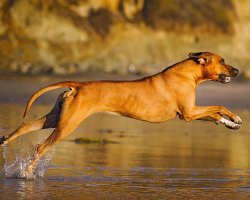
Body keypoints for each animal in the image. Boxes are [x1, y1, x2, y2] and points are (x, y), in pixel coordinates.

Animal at [0, 51, 242, 177]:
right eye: (222, 61)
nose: (238, 70)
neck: (189, 73)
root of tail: (78, 84)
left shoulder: (190, 114)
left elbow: (215, 114)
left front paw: (231, 123)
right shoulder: (189, 113)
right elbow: (218, 106)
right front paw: (235, 118)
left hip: (56, 118)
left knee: (26, 126)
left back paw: (4, 141)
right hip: (67, 125)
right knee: (40, 147)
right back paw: (26, 172)